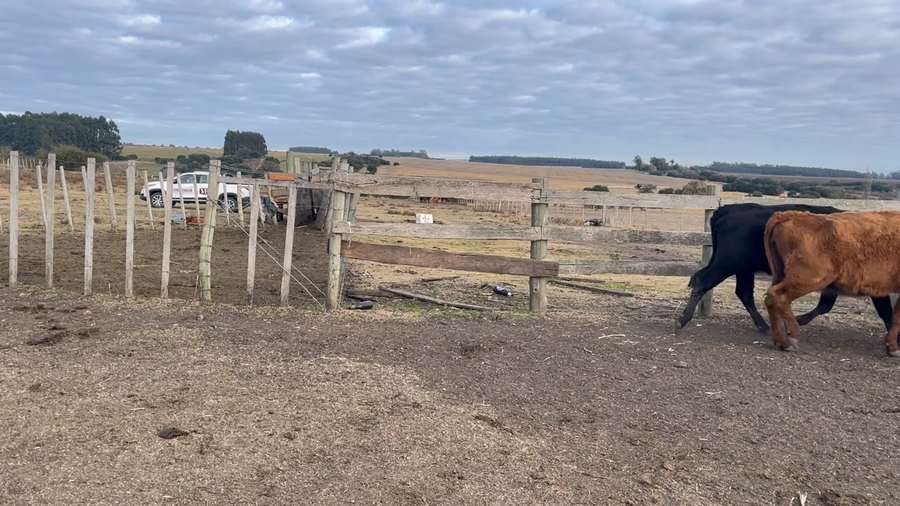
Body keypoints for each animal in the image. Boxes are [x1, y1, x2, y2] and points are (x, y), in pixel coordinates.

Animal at [676, 203, 893, 333]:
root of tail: (730, 209)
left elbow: (825, 305)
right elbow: (886, 311)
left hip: (743, 268)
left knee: (743, 292)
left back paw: (763, 326)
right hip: (728, 263)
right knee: (703, 281)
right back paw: (683, 319)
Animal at [763, 210, 900, 356]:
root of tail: (790, 216)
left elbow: (895, 317)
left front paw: (892, 346)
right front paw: (894, 347)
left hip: (782, 275)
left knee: (770, 299)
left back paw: (781, 341)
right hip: (810, 279)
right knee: (778, 296)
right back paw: (792, 338)